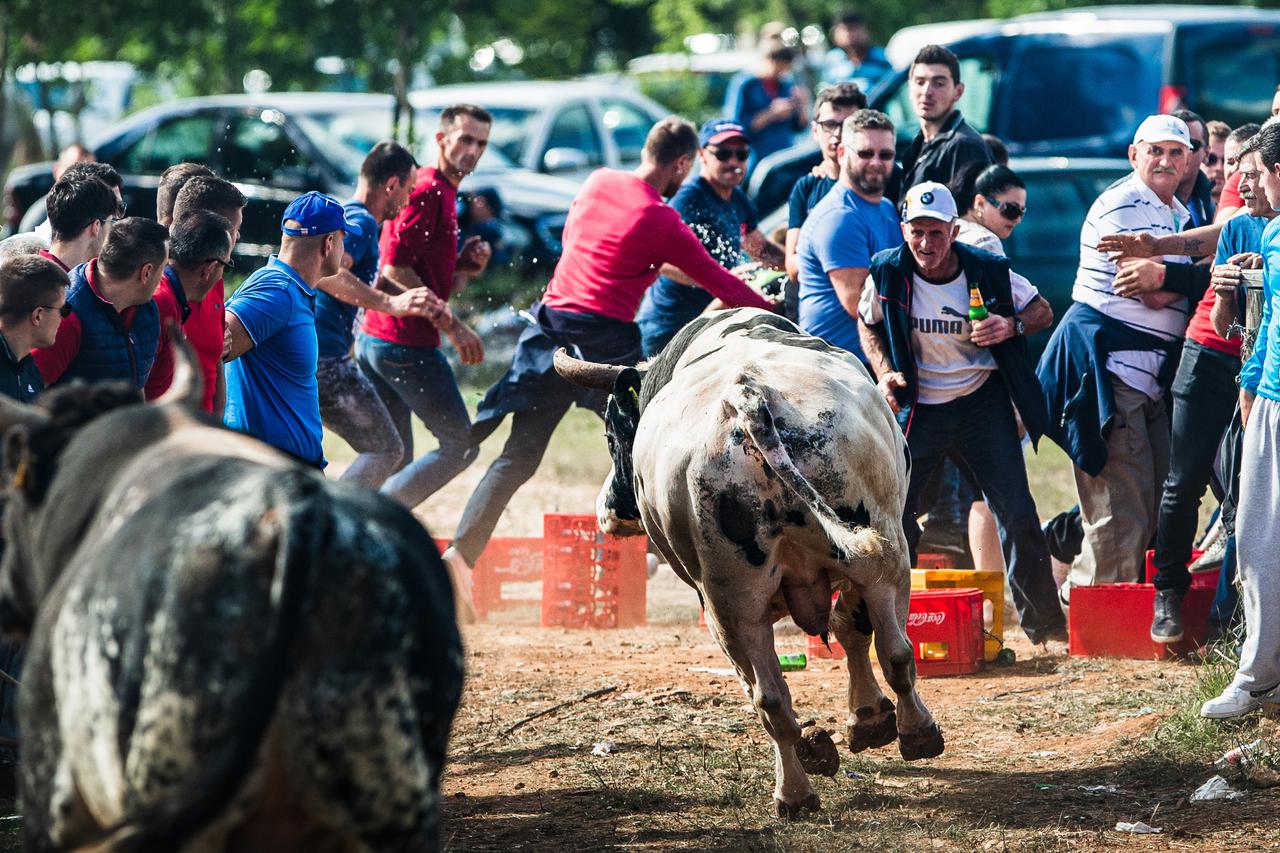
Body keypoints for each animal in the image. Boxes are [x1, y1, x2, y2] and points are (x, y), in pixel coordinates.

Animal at [555, 308, 947, 814]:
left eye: (610, 435)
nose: (609, 510)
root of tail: (749, 397)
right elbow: (851, 630)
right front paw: (866, 718)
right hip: (882, 559)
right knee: (888, 653)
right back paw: (909, 734)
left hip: (737, 602)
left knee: (775, 696)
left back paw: (798, 788)